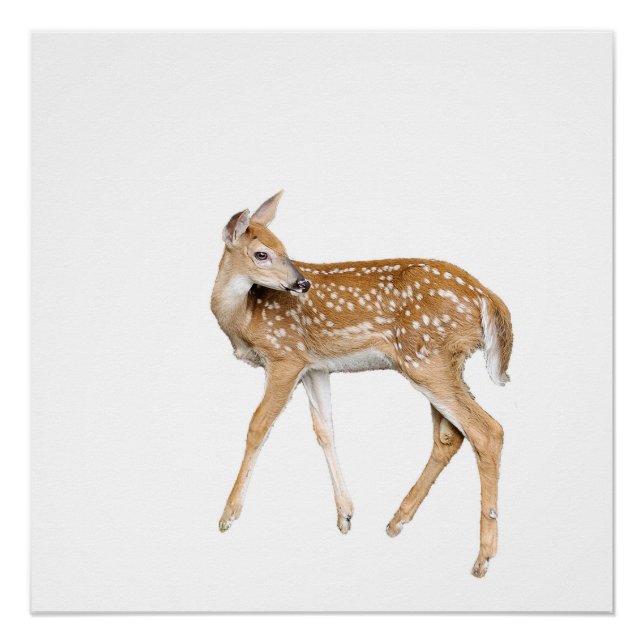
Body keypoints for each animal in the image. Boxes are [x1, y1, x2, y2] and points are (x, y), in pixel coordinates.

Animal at [210, 191, 513, 577]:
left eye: (284, 249)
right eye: (262, 253)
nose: (302, 284)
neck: (243, 316)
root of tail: (487, 297)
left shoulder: (285, 356)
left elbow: (258, 426)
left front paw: (228, 515)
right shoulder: (314, 367)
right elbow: (324, 430)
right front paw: (345, 515)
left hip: (426, 358)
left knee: (486, 431)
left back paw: (482, 557)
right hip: (441, 361)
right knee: (450, 436)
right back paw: (397, 521)